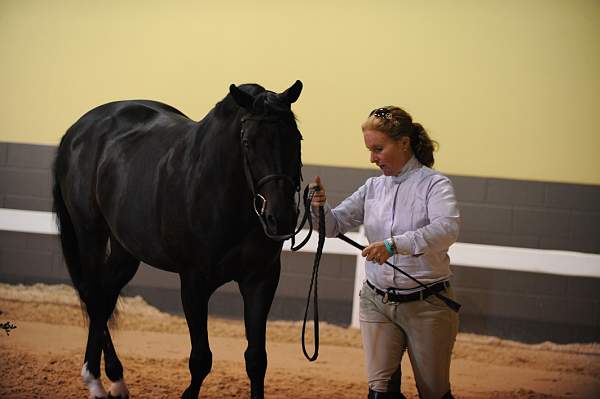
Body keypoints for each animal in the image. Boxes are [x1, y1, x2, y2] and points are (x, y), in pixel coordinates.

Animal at [51, 79, 302, 398]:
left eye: (296, 138)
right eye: (248, 142)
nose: (280, 217)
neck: (219, 192)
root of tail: (75, 132)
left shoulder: (261, 279)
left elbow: (256, 359)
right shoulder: (194, 282)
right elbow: (201, 359)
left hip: (125, 249)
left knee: (105, 297)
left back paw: (115, 380)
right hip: (90, 233)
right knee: (94, 295)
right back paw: (95, 381)